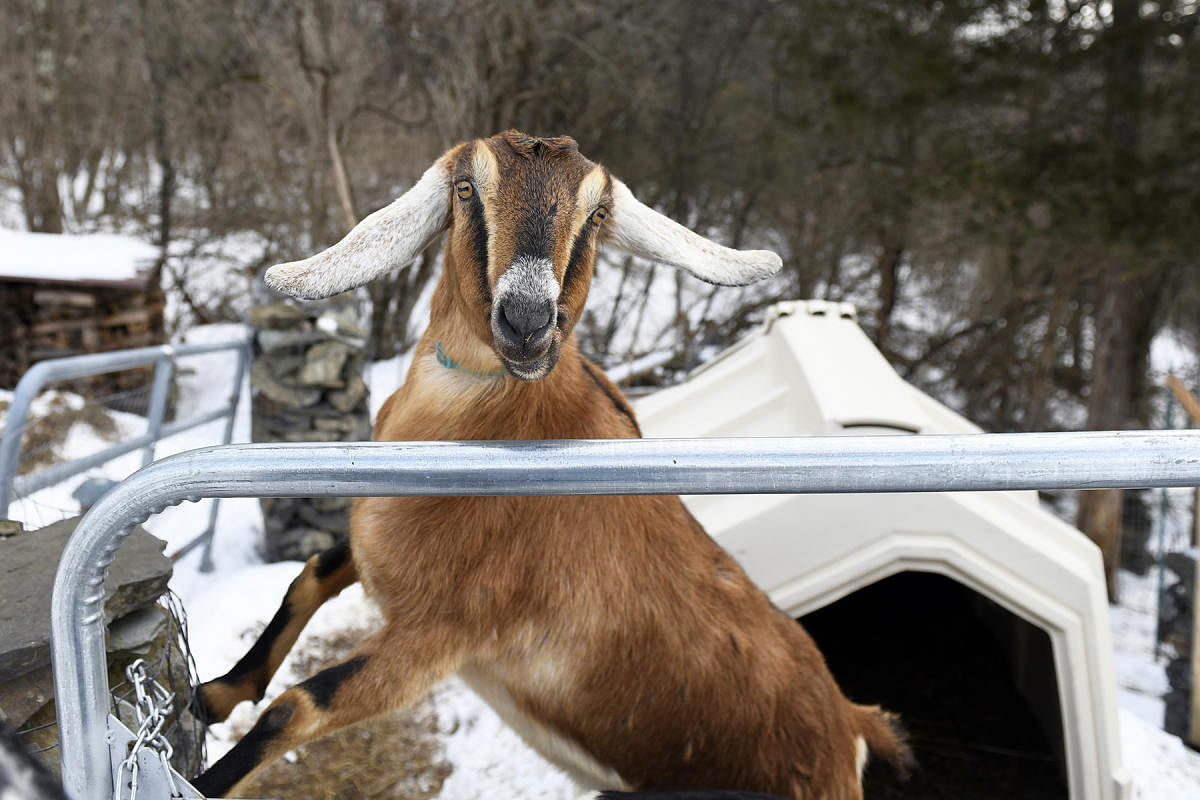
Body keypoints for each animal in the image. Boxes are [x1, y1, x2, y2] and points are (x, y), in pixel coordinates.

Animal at [192, 131, 912, 800]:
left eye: (596, 213)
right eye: (466, 189)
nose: (528, 320)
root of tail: (851, 726)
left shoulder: (437, 635)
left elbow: (295, 709)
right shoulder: (376, 555)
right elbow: (310, 575)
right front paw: (212, 695)